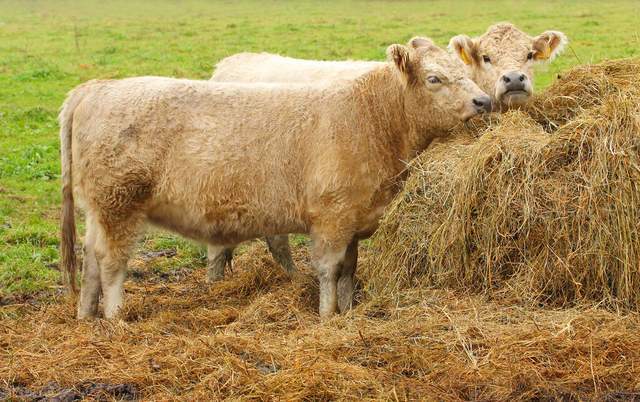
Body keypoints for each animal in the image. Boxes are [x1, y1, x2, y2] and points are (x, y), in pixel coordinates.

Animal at [60, 37, 490, 320]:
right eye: (434, 78)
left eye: (464, 71)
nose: (483, 101)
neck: (370, 118)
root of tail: (98, 88)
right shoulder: (331, 219)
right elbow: (330, 269)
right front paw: (327, 316)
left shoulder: (354, 219)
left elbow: (350, 269)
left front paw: (349, 310)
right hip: (120, 205)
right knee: (112, 263)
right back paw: (115, 318)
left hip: (100, 210)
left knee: (91, 257)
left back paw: (86, 315)